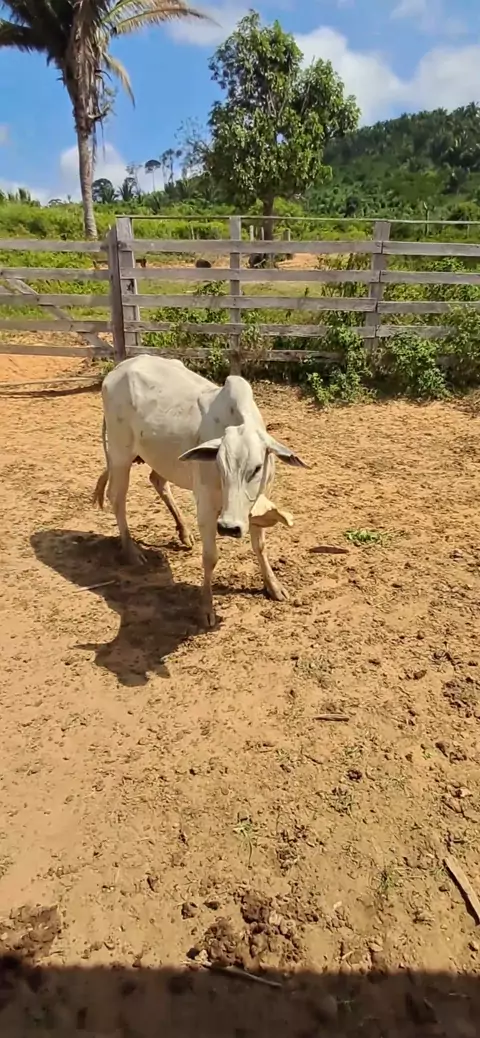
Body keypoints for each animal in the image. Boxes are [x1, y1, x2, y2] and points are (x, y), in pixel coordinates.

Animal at [93, 356, 306, 627]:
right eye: (219, 465)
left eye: (257, 468)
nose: (229, 527)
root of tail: (120, 368)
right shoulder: (206, 506)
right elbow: (210, 557)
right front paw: (206, 608)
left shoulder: (255, 505)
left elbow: (260, 547)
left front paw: (274, 586)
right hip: (120, 454)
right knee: (117, 497)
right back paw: (132, 552)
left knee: (158, 481)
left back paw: (183, 533)